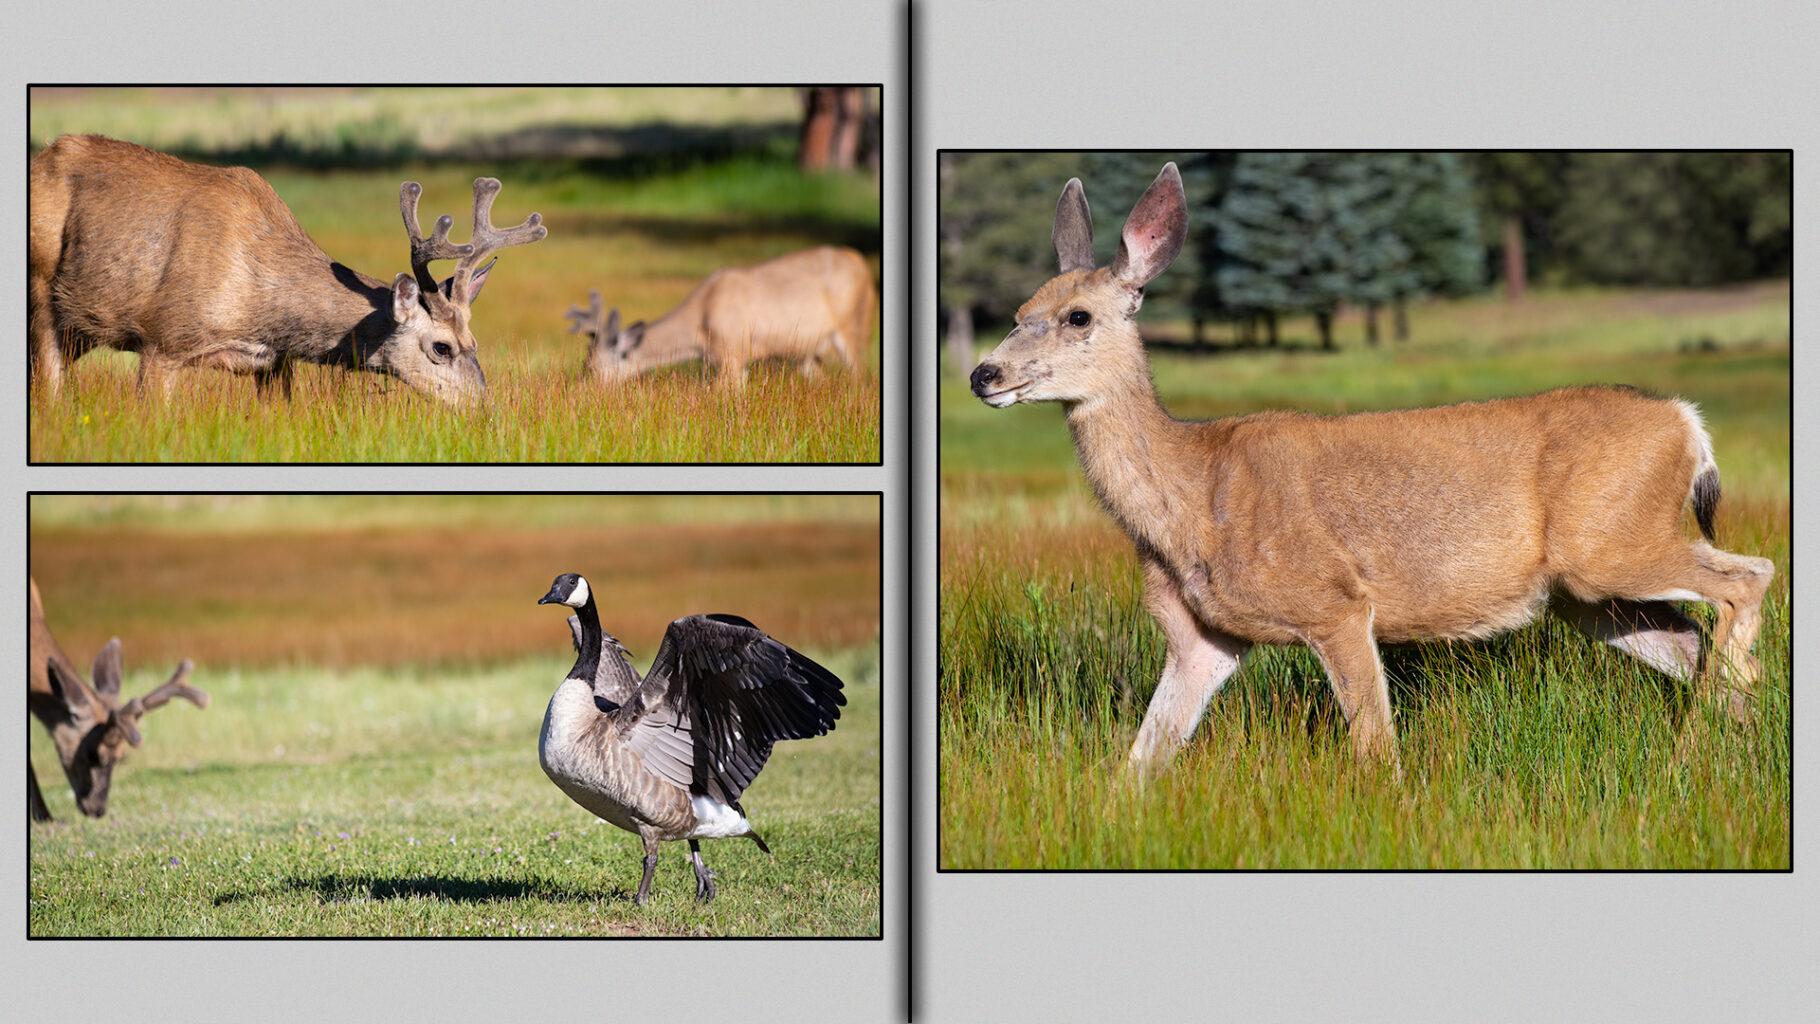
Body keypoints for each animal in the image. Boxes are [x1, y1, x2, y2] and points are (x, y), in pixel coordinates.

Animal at [28, 133, 546, 403]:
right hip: (42, 291)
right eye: (441, 347)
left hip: (82, 330)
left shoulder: (273, 363)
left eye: (475, 344)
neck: (260, 304)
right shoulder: (162, 339)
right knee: (47, 384)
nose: (483, 407)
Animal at [565, 245, 875, 385]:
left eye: (591, 368)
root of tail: (862, 263)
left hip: (852, 325)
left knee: (860, 375)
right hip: (810, 353)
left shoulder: (733, 354)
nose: (580, 389)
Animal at [968, 162, 1776, 779]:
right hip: (1589, 594)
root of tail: (1687, 421)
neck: (1193, 494)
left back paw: (1690, 758)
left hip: (1613, 541)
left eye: (1077, 316)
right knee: (1698, 644)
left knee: (1750, 577)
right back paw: (1733, 752)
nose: (983, 373)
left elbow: (1374, 748)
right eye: (1017, 310)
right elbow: (1140, 760)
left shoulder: (1336, 602)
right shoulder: (1202, 637)